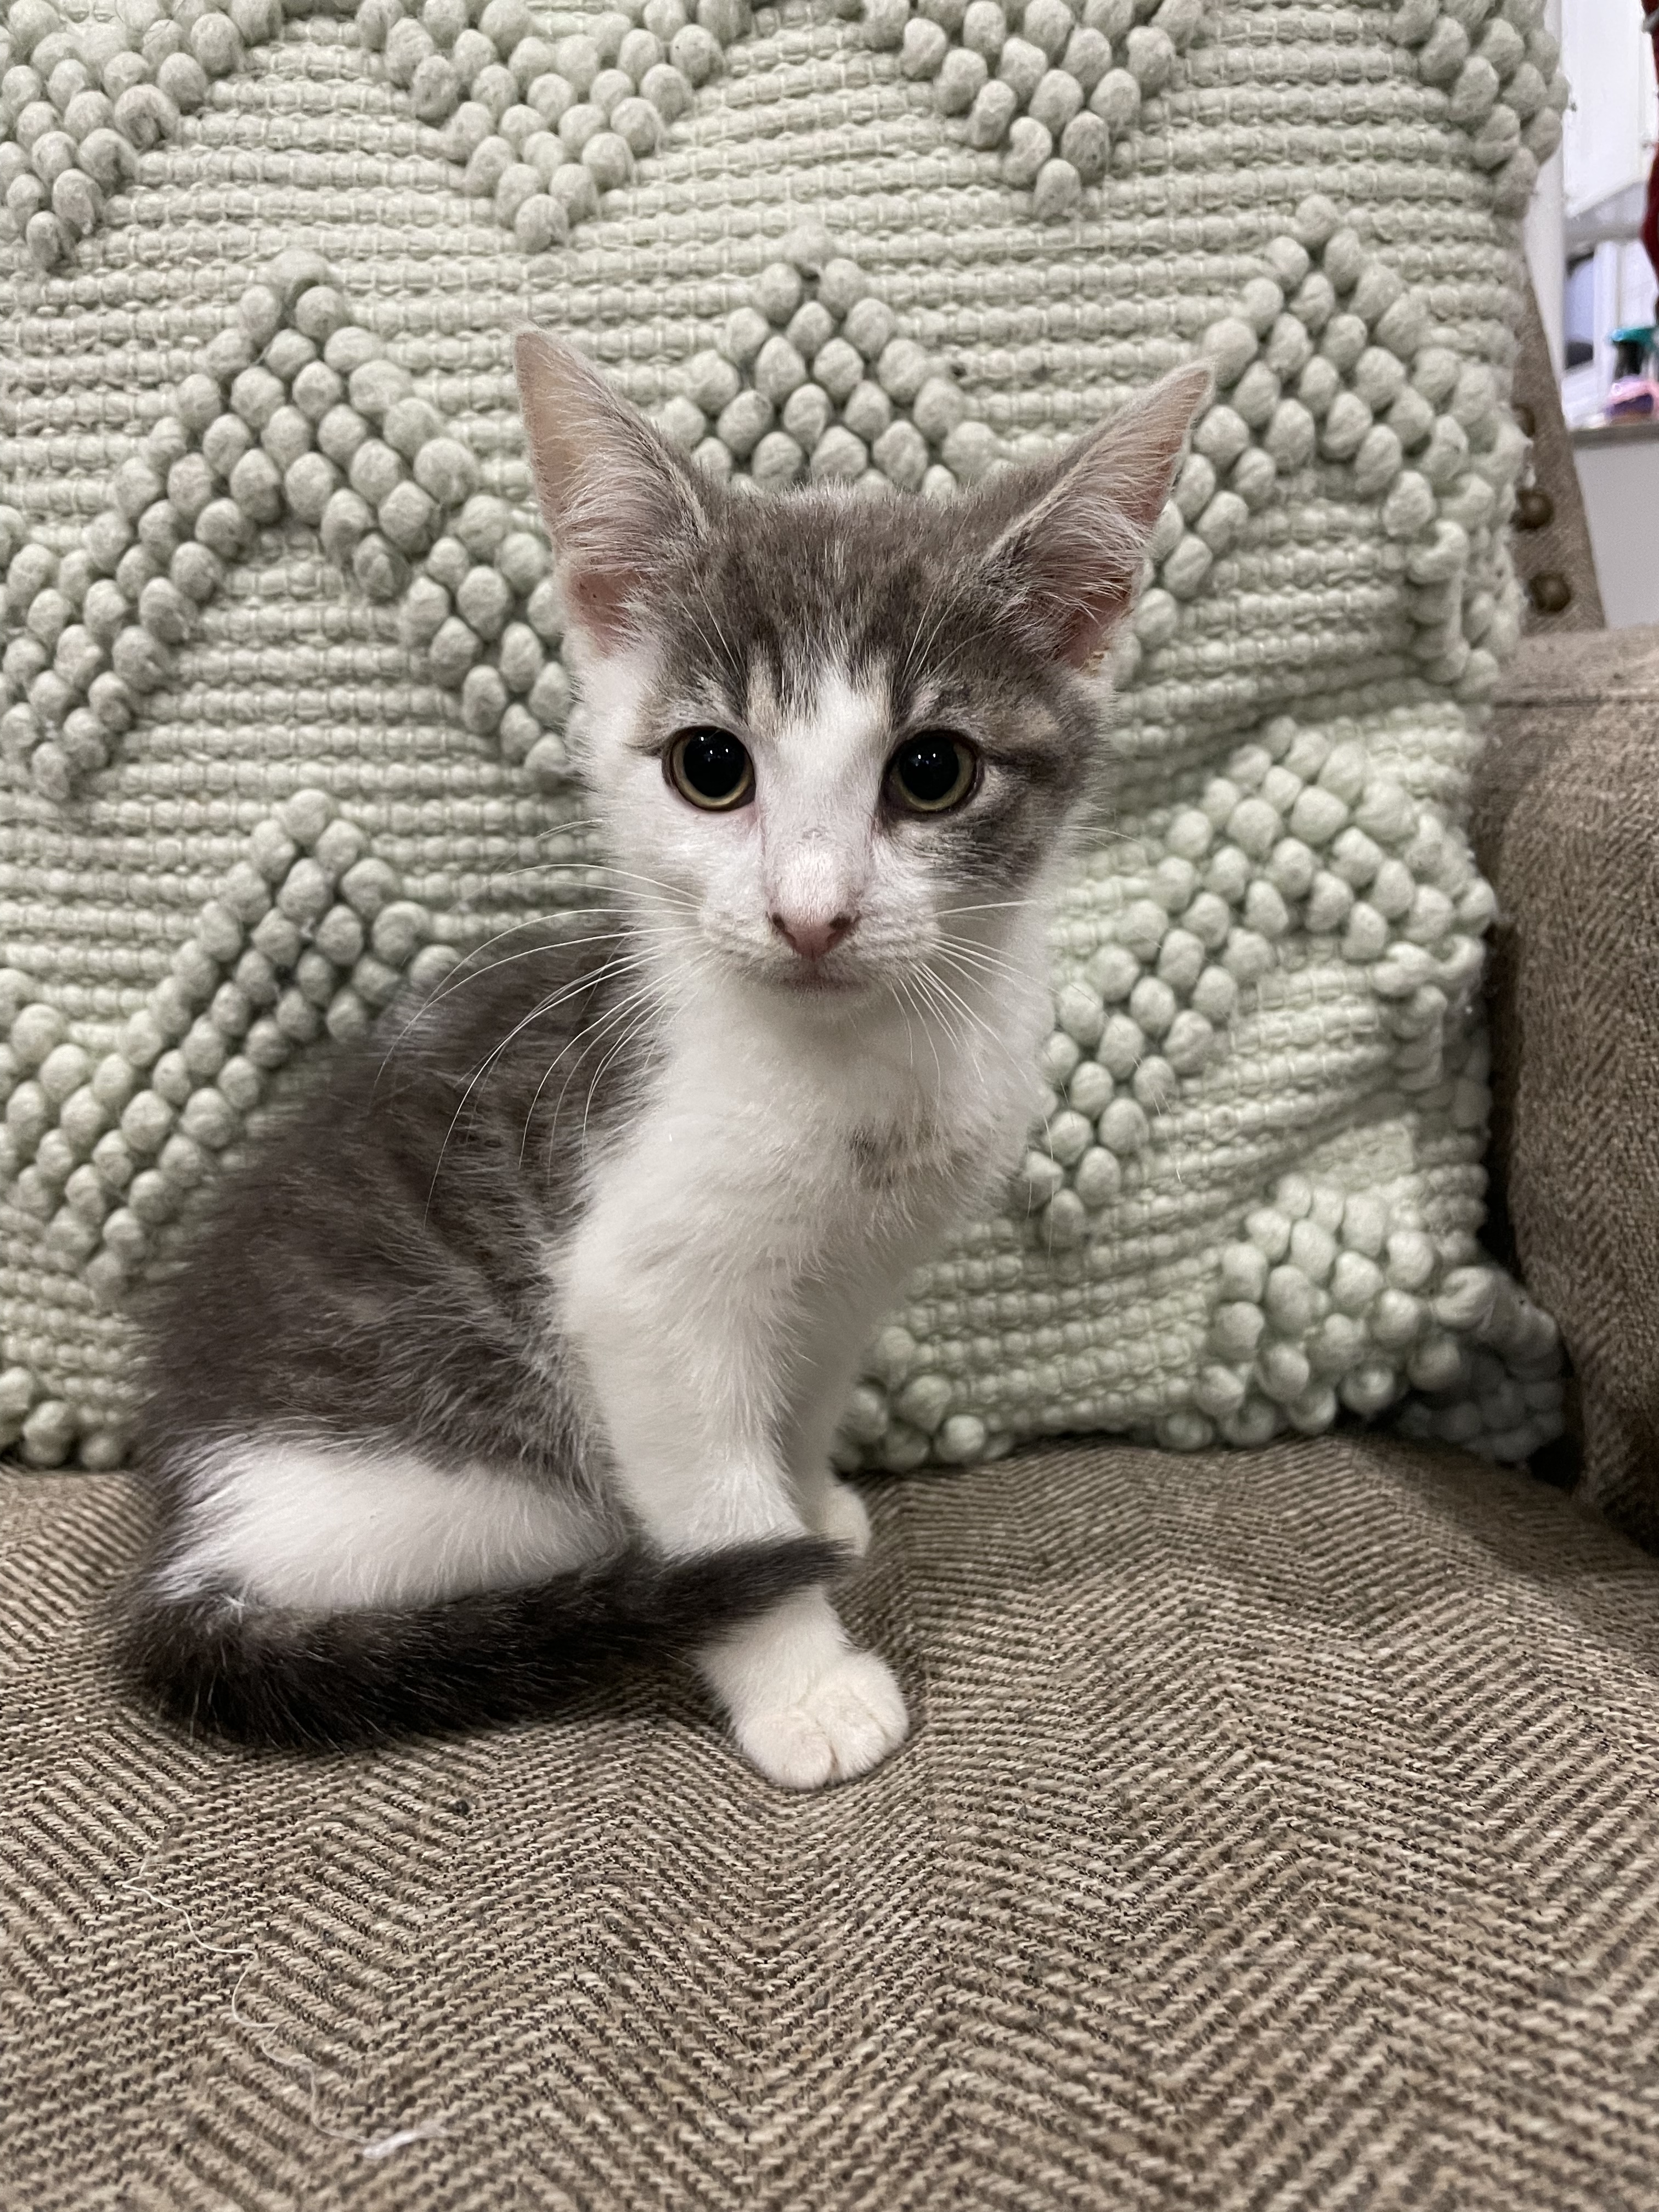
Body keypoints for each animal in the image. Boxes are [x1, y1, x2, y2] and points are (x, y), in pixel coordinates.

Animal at [120, 336, 1212, 1787]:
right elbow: (716, 1500)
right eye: (711, 766)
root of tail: (190, 1550)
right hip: (479, 1488)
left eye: (933, 772)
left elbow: (799, 1401)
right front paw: (800, 1675)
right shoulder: (642, 1297)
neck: (853, 1066)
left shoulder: (852, 1276)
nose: (814, 915)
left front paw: (812, 1501)